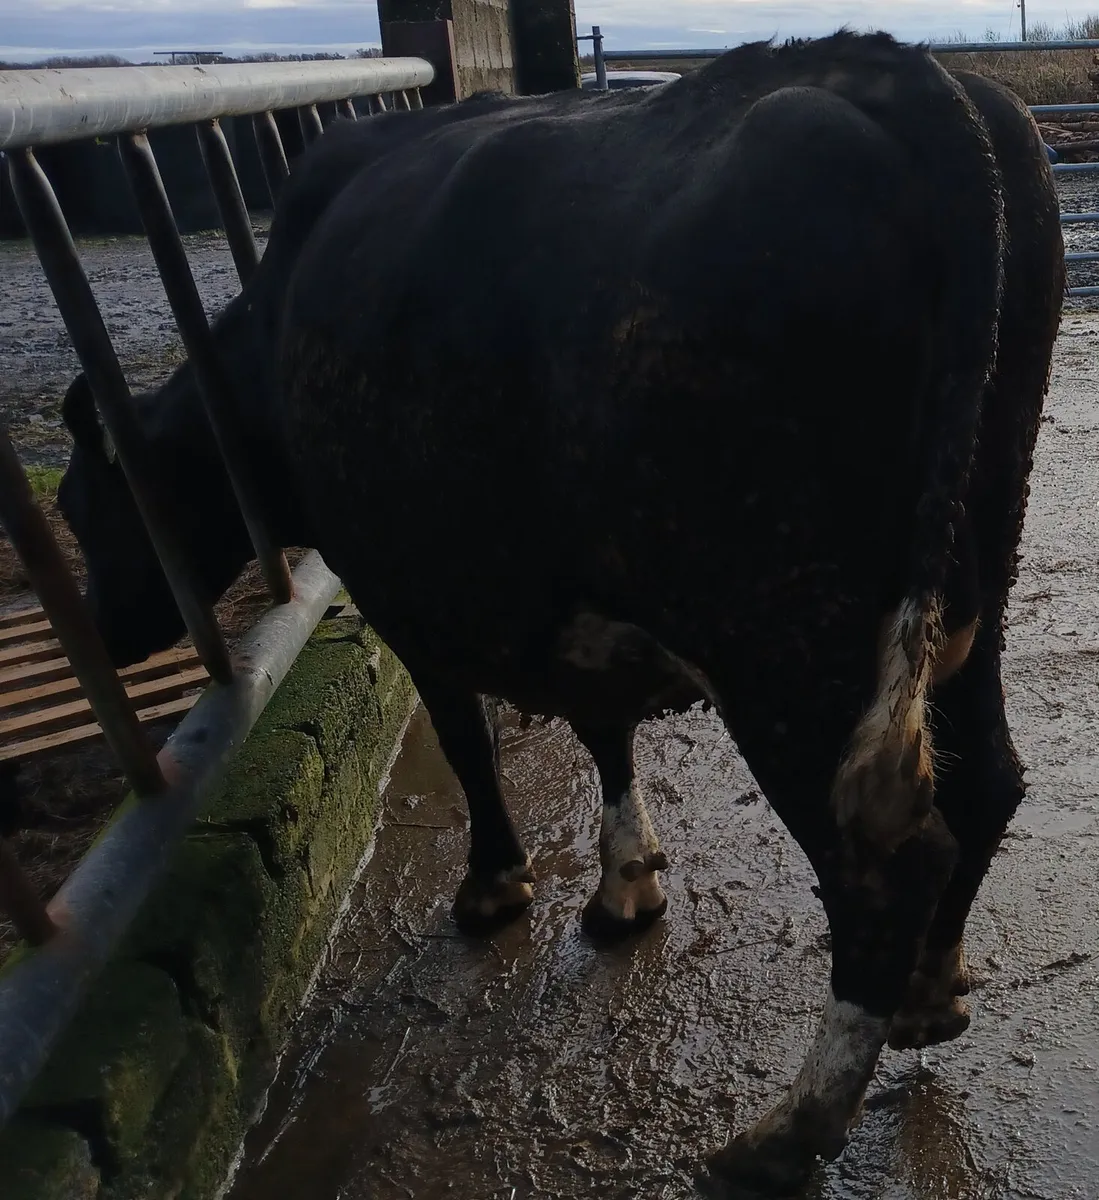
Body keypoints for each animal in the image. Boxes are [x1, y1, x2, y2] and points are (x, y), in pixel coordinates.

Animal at [57, 33, 1064, 1194]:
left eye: (81, 506)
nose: (106, 628)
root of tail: (899, 74)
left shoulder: (399, 582)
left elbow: (467, 737)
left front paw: (497, 882)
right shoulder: (578, 594)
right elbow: (603, 727)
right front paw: (626, 880)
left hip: (781, 625)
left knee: (882, 863)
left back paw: (786, 1131)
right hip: (971, 575)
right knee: (987, 779)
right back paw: (930, 991)